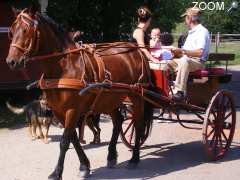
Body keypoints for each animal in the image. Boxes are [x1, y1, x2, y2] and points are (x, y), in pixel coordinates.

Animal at [6, 7, 154, 179]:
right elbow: (73, 138)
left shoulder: (72, 109)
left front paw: (57, 172)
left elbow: (65, 141)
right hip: (109, 98)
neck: (64, 67)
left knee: (138, 124)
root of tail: (136, 51)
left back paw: (134, 158)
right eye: (11, 31)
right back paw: (111, 156)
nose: (11, 62)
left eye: (25, 30)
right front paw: (84, 166)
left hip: (136, 95)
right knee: (118, 122)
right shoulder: (59, 111)